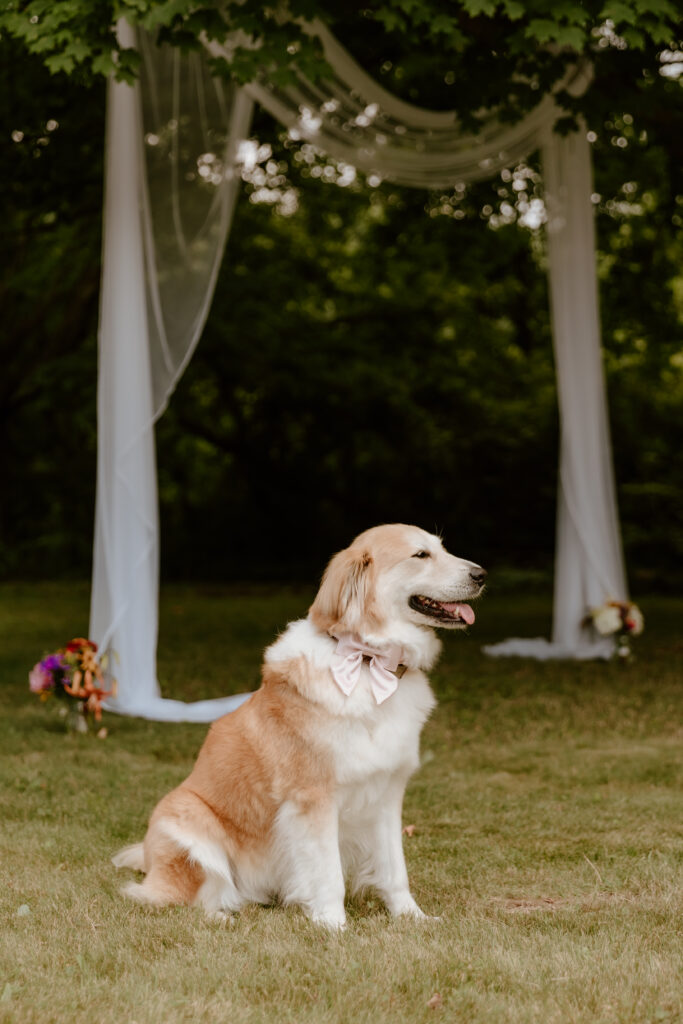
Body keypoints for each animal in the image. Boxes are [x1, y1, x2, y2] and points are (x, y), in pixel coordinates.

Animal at [113, 524, 485, 933]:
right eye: (421, 555)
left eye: (442, 548)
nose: (482, 575)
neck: (369, 662)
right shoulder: (314, 800)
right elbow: (329, 874)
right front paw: (333, 924)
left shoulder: (386, 796)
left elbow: (394, 870)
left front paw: (412, 916)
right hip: (188, 819)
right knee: (179, 899)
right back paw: (222, 917)